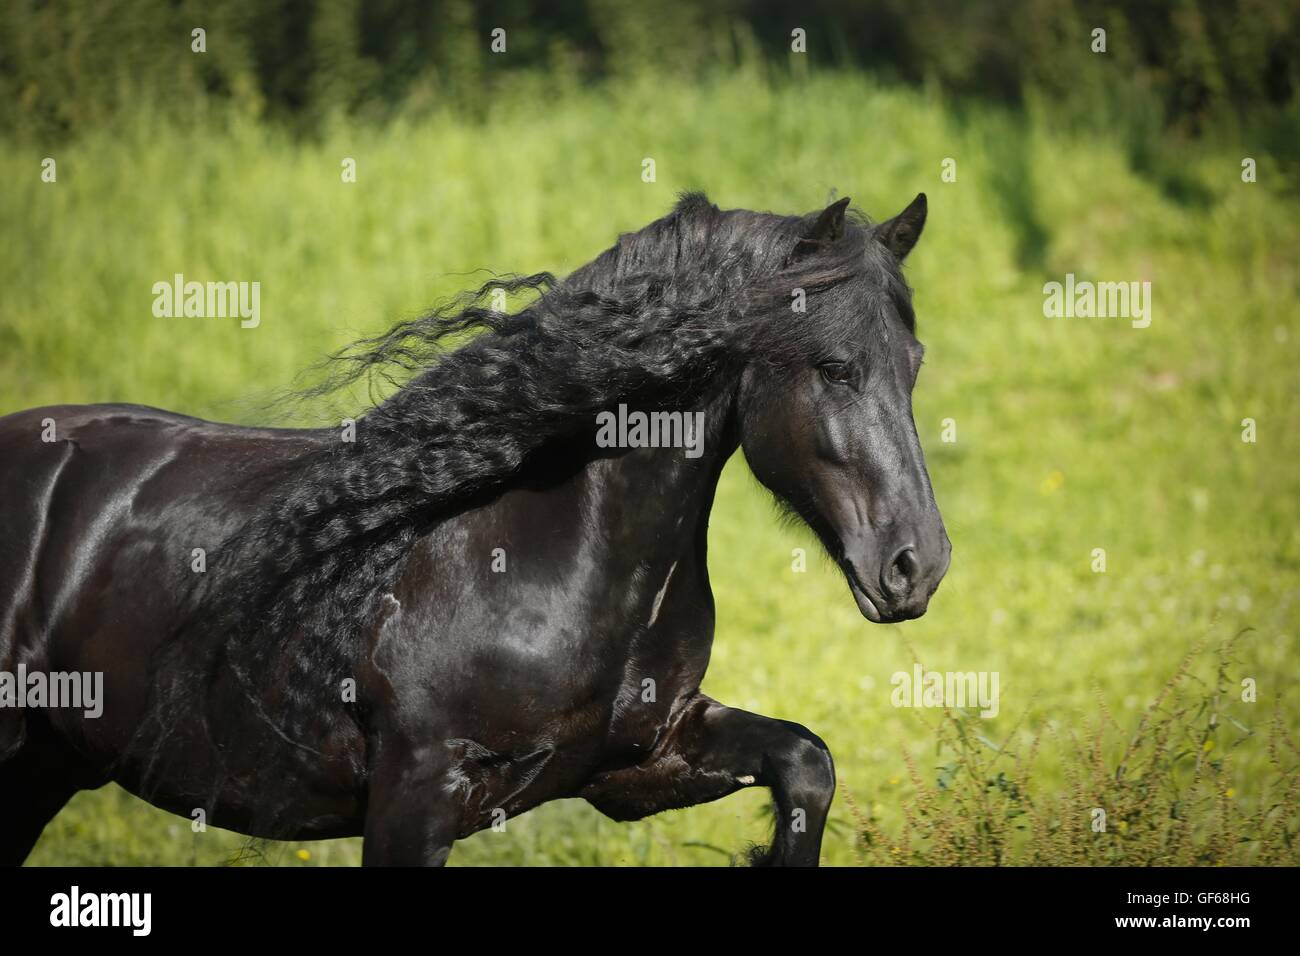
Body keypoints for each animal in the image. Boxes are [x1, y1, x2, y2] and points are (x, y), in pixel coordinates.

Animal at [0, 191, 949, 866]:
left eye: (914, 363)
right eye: (835, 368)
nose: (918, 566)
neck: (553, 554)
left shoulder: (637, 763)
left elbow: (807, 762)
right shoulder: (416, 796)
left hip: (47, 766)